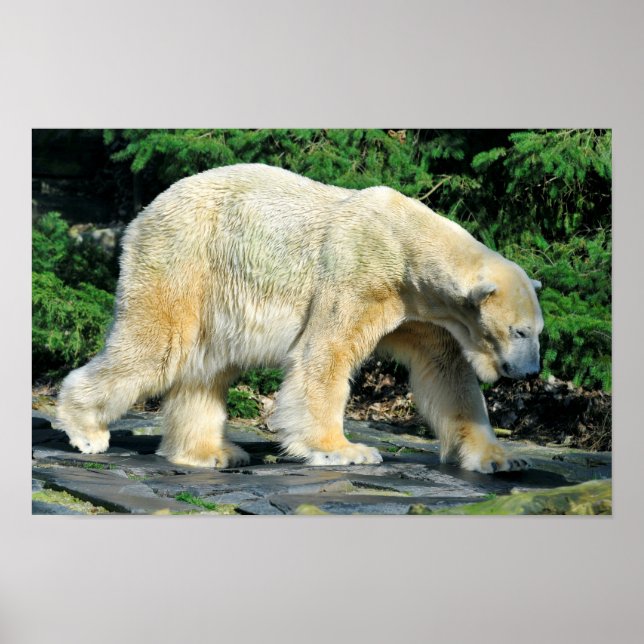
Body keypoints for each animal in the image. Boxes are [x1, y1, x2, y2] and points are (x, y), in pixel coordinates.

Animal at [56, 163, 543, 474]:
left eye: (540, 332)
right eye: (519, 331)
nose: (532, 372)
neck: (405, 245)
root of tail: (144, 213)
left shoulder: (420, 311)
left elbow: (447, 373)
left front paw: (502, 458)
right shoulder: (359, 277)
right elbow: (325, 356)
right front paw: (345, 450)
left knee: (206, 367)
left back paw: (212, 453)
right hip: (183, 258)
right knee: (158, 347)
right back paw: (86, 430)